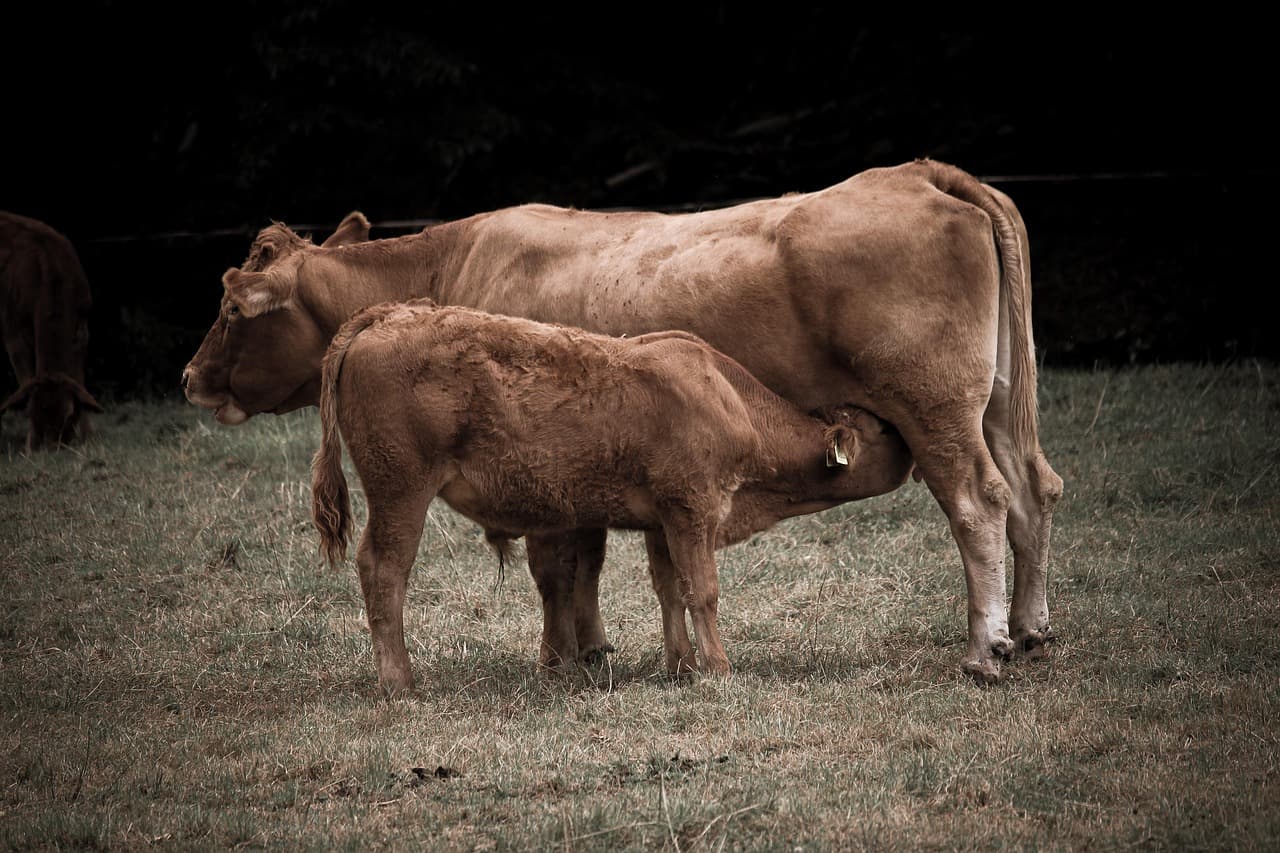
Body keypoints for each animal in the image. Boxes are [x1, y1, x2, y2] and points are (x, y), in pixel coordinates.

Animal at [1, 212, 103, 452]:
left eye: (68, 415)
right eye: (30, 414)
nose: (51, 450)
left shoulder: (82, 329)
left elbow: (78, 378)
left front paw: (88, 437)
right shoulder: (12, 330)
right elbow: (25, 378)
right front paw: (30, 446)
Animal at [310, 299, 914, 694]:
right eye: (880, 431)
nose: (907, 443)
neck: (727, 398)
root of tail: (387, 315)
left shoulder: (663, 522)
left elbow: (670, 591)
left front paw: (680, 666)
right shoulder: (694, 510)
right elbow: (703, 590)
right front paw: (718, 669)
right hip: (400, 494)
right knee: (384, 569)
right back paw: (400, 682)